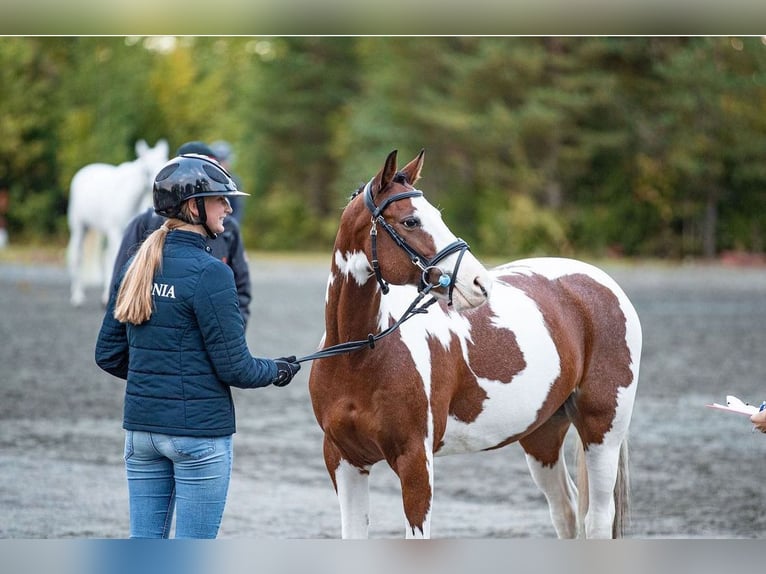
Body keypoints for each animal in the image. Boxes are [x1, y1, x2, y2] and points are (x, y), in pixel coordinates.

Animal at [66, 139, 170, 308]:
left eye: (165, 162)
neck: (130, 197)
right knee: (78, 256)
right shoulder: (115, 231)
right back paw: (77, 296)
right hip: (80, 229)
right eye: (146, 169)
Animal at [308, 148, 644, 540]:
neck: (359, 358)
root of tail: (600, 281)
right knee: (567, 513)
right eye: (410, 222)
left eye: (438, 216)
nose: (479, 282)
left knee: (597, 519)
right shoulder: (344, 460)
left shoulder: (415, 462)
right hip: (543, 433)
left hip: (603, 430)